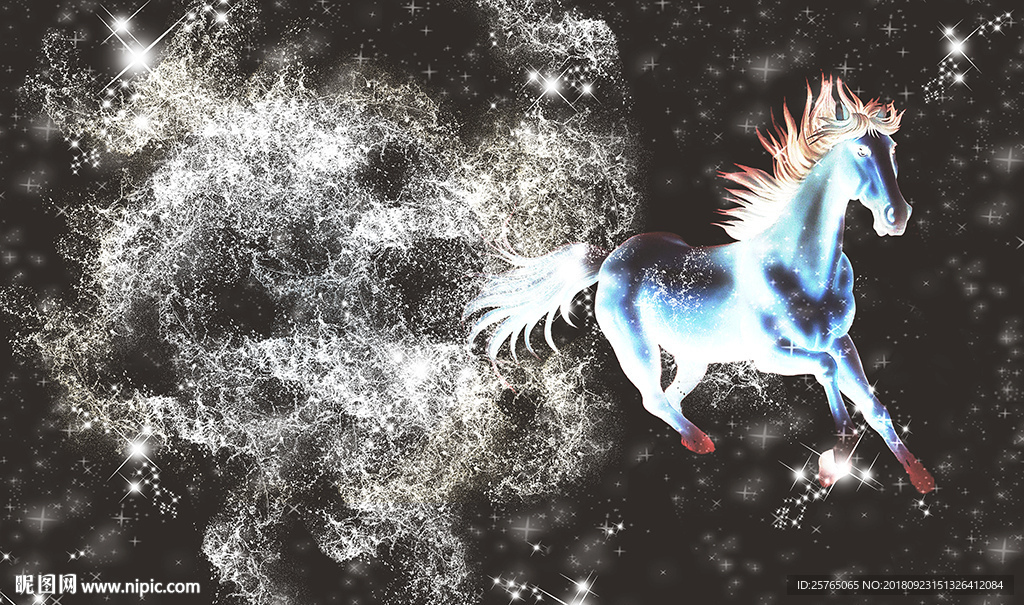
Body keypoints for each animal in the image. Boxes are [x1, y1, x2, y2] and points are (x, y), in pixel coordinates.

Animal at [465, 77, 935, 494]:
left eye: (892, 149)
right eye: (861, 149)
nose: (897, 216)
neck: (801, 267)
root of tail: (609, 260)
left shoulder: (841, 341)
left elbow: (873, 405)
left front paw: (920, 478)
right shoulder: (770, 355)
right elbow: (827, 372)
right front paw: (832, 461)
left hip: (694, 357)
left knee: (671, 397)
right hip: (635, 347)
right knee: (653, 398)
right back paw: (700, 442)